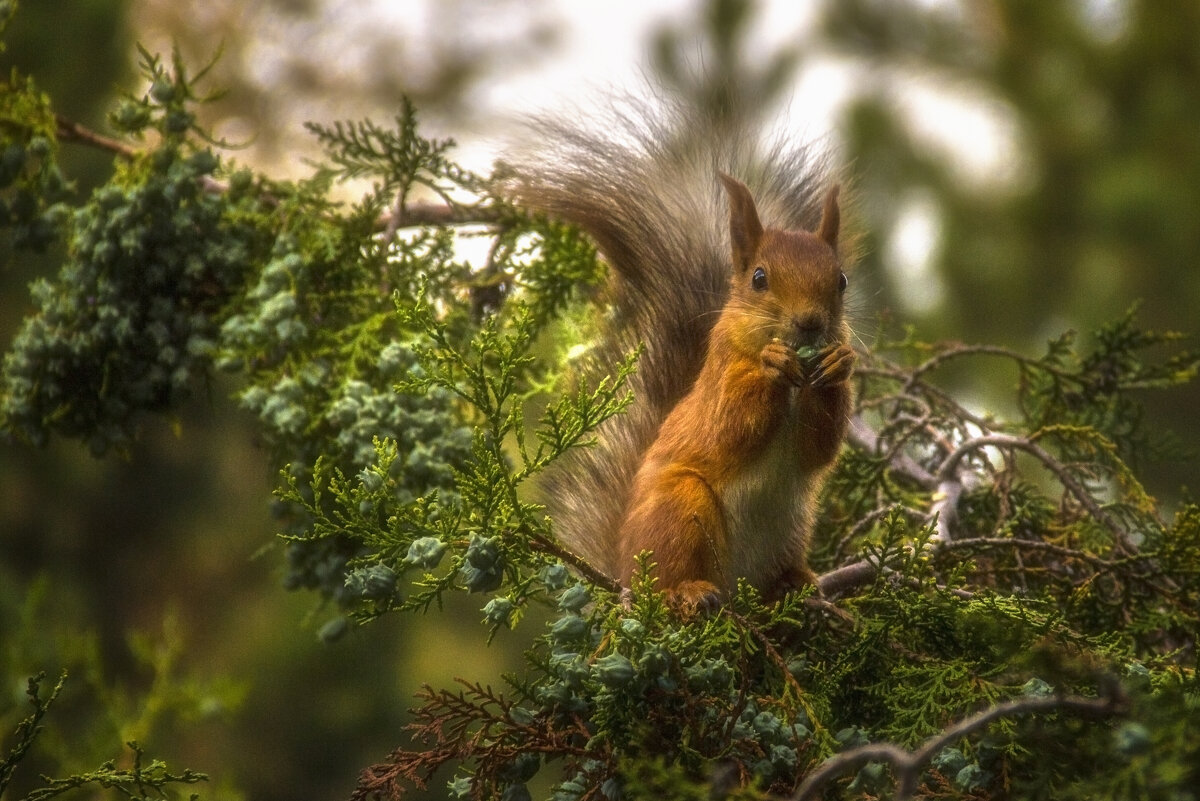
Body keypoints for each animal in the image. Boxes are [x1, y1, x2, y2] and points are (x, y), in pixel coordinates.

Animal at [506, 101, 854, 613]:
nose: (810, 323)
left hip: (793, 523)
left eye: (842, 281)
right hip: (681, 509)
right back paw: (685, 591)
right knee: (674, 571)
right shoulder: (716, 387)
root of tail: (622, 573)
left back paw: (798, 587)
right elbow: (728, 427)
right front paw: (769, 366)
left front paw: (838, 365)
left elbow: (818, 446)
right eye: (759, 278)